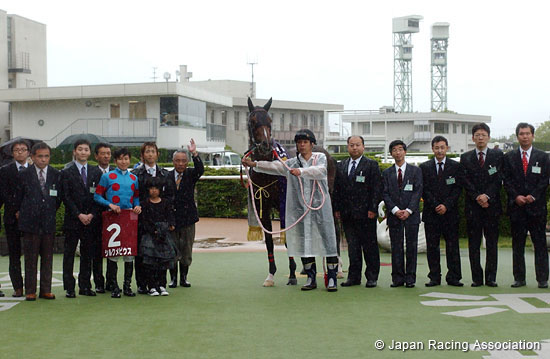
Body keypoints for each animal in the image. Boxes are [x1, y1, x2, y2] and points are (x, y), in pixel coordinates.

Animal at [245, 97, 298, 286]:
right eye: (253, 121)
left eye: (270, 121)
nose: (266, 145)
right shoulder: (263, 207)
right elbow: (269, 240)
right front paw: (271, 275)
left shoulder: (284, 205)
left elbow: (287, 238)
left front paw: (292, 274)